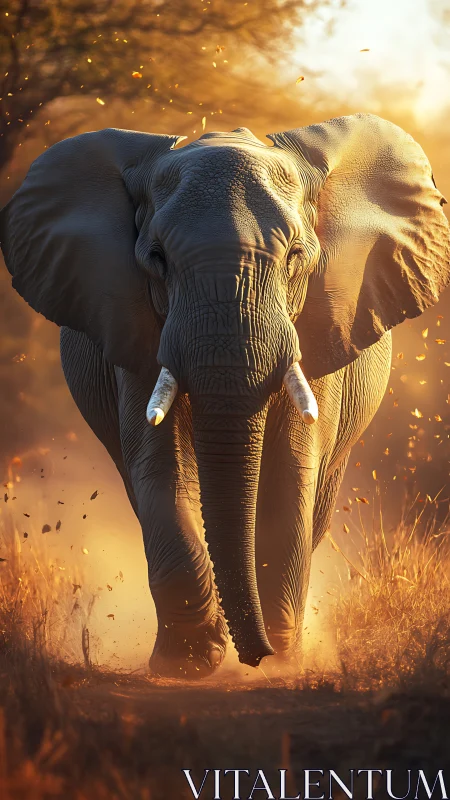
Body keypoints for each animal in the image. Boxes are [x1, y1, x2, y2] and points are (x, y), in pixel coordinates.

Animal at [1, 114, 449, 679]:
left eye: (296, 256)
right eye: (156, 259)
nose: (256, 655)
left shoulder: (318, 325)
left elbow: (289, 471)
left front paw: (280, 662)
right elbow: (162, 467)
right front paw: (190, 662)